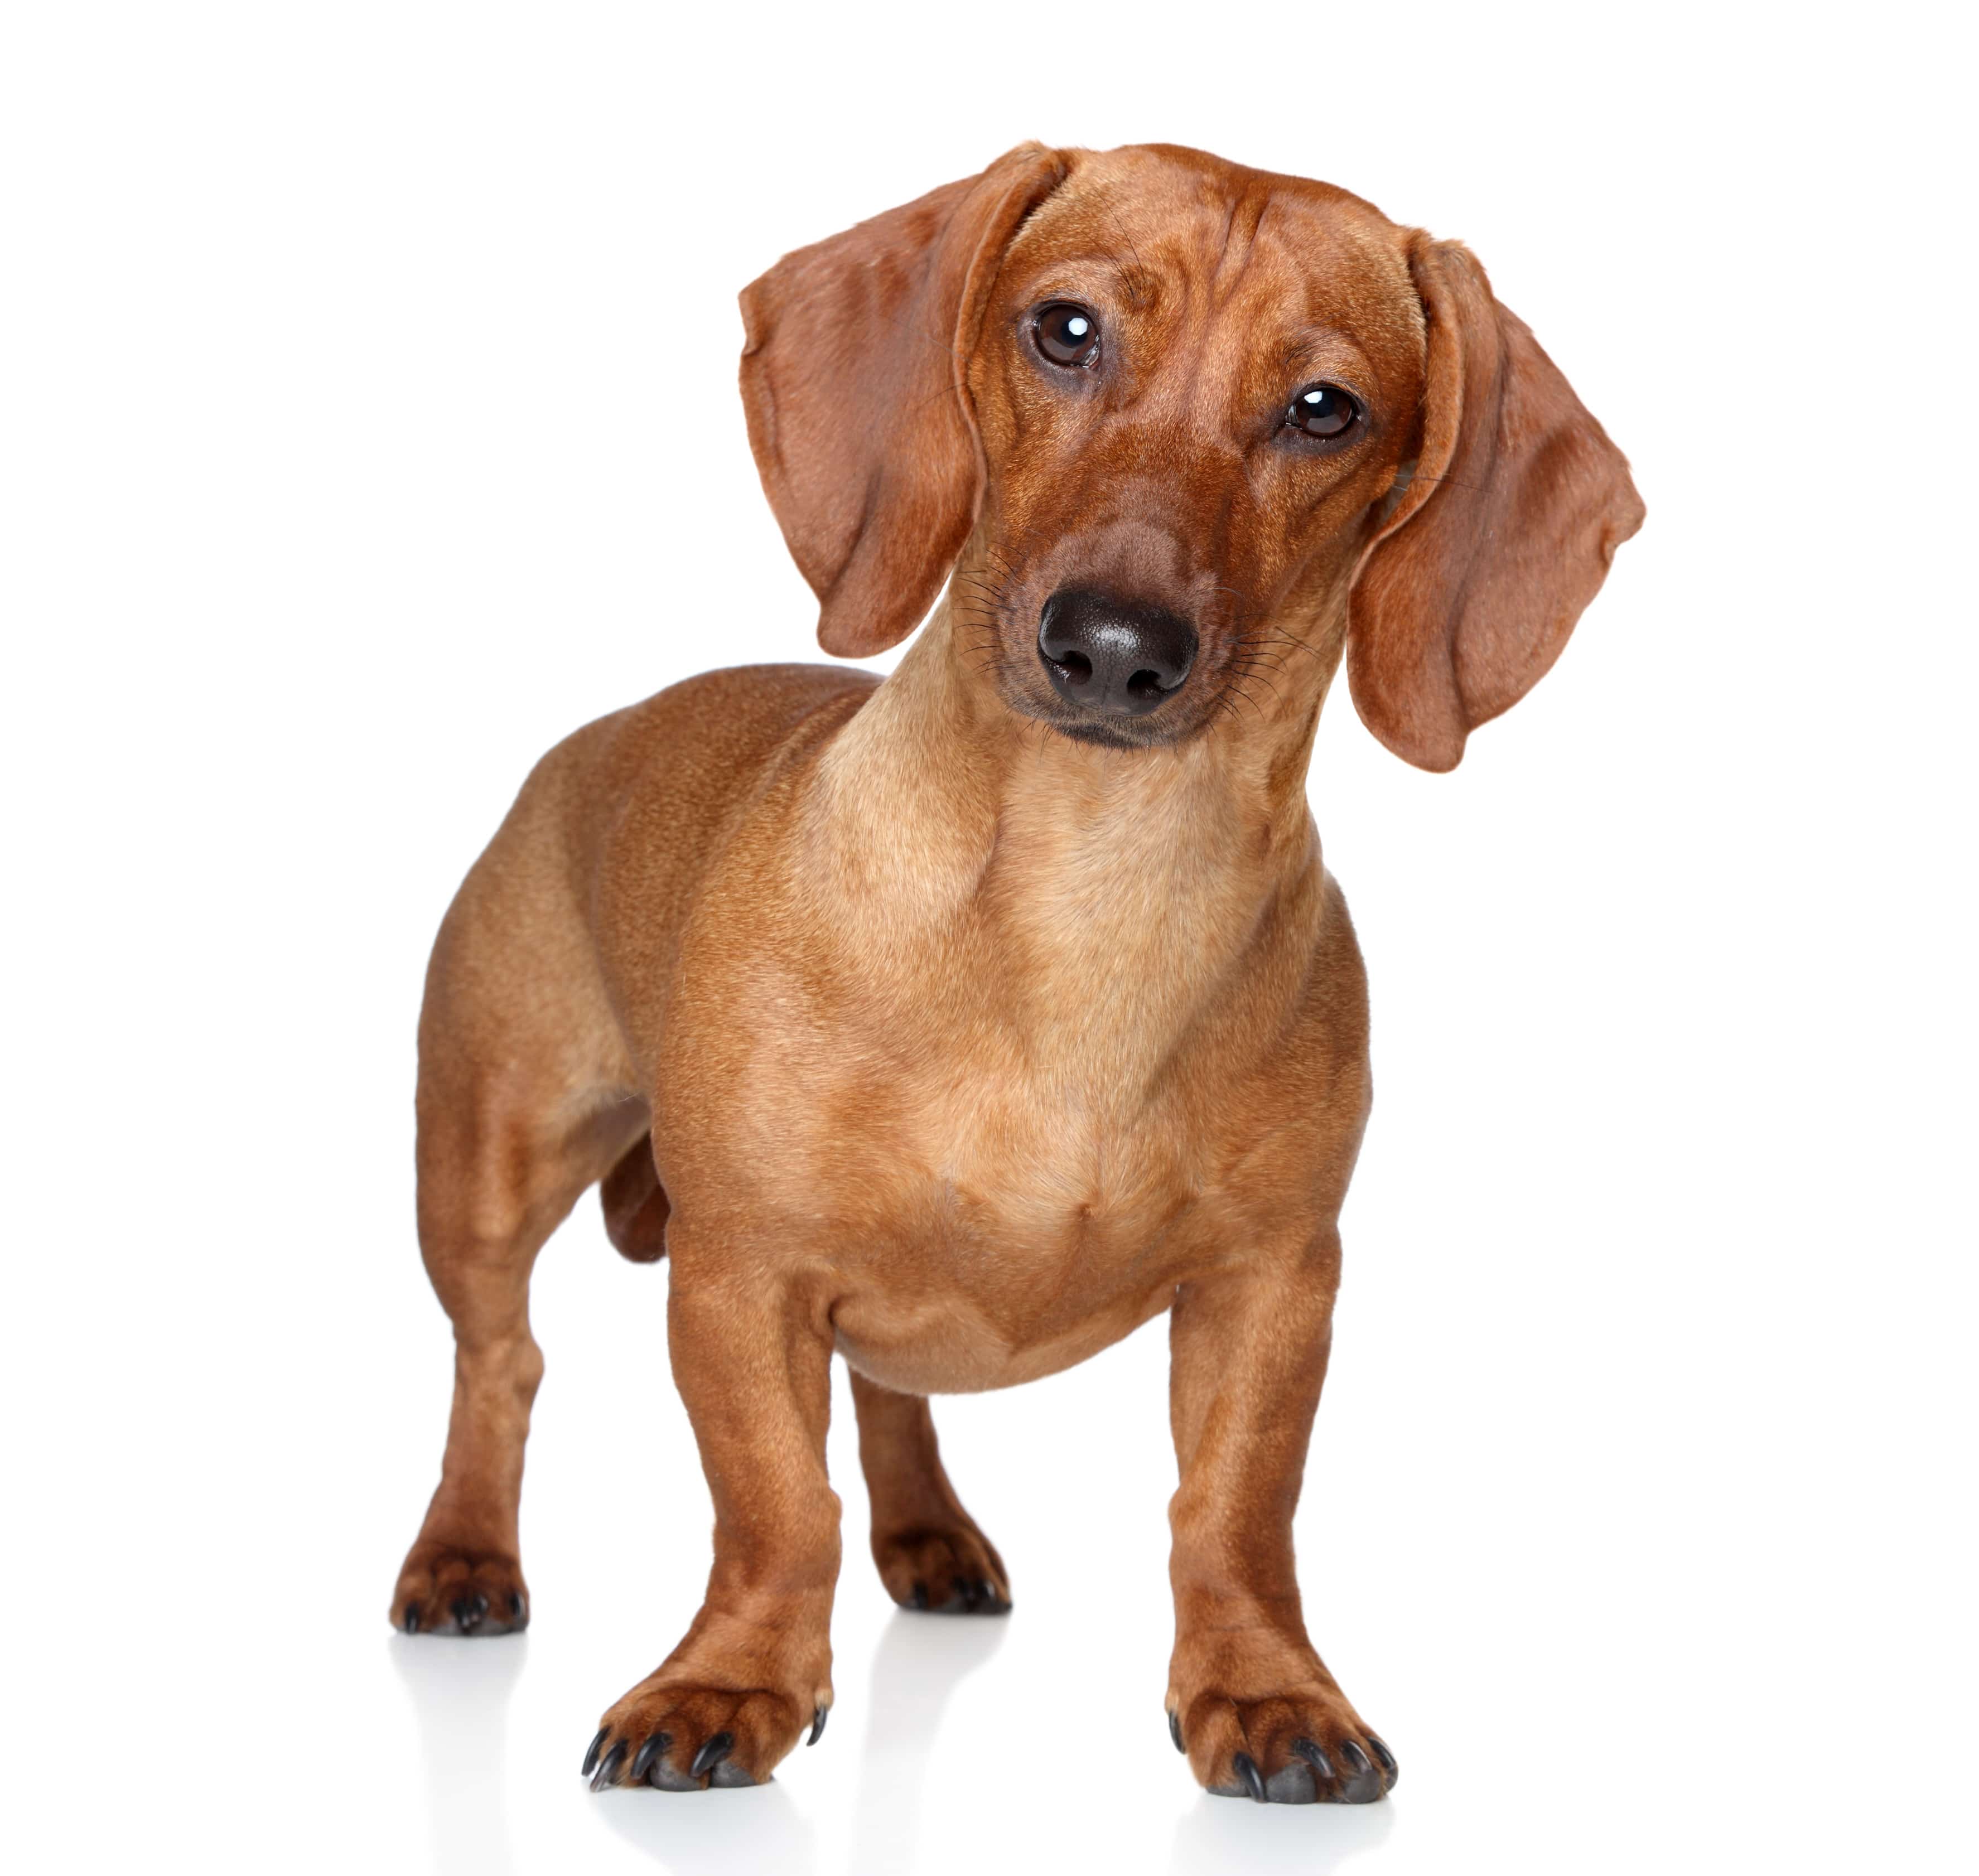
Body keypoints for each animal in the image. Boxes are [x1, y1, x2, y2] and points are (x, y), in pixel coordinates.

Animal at [385, 139, 1638, 1812]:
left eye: (1325, 406)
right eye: (1063, 330)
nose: (1111, 644)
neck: (1077, 904)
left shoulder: (1273, 1281)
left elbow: (1232, 1512)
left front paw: (1265, 1691)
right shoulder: (739, 1276)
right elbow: (773, 1506)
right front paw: (731, 1680)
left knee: (885, 1392)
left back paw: (925, 1528)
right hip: (487, 1161)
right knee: (501, 1361)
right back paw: (463, 1554)